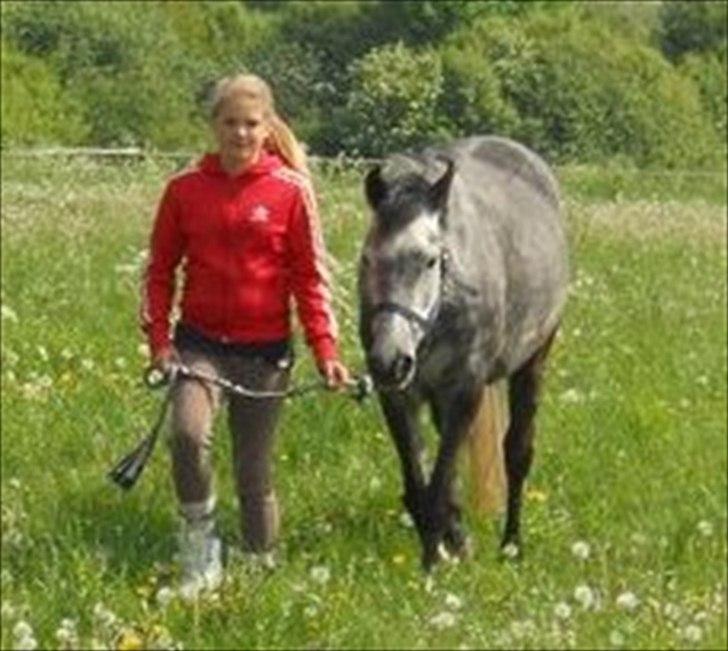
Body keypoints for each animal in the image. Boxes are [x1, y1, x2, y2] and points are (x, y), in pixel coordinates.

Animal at [358, 135, 568, 568]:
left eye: (429, 260)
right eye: (367, 259)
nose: (389, 360)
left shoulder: (465, 390)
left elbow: (438, 487)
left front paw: (431, 566)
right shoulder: (399, 396)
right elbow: (419, 485)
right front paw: (446, 547)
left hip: (533, 361)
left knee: (517, 453)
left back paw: (511, 545)